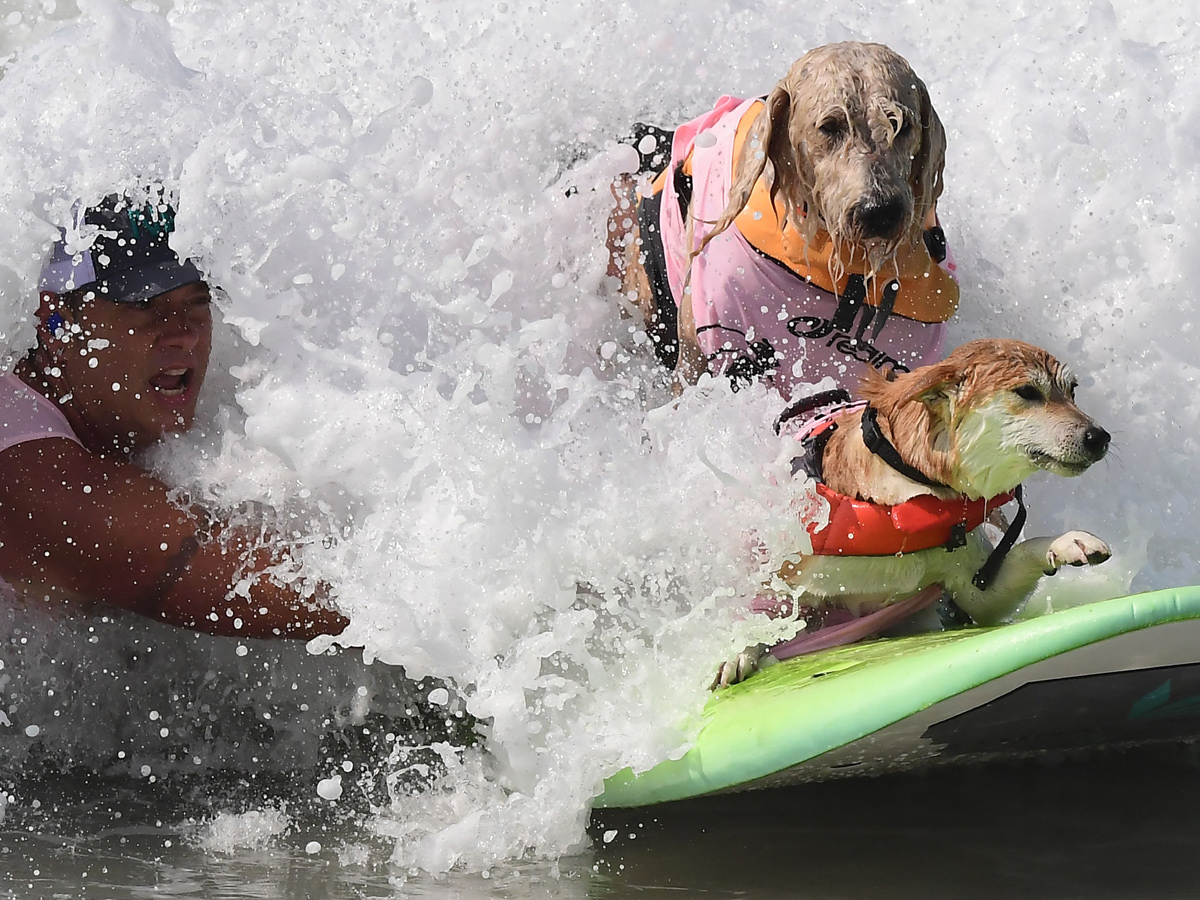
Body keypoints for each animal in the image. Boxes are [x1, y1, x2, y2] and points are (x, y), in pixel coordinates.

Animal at [710, 340, 1113, 686]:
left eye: (1073, 391)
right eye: (1027, 392)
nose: (1100, 437)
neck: (911, 492)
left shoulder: (973, 587)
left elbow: (1003, 576)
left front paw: (1068, 543)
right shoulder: (787, 572)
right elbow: (759, 609)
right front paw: (736, 651)